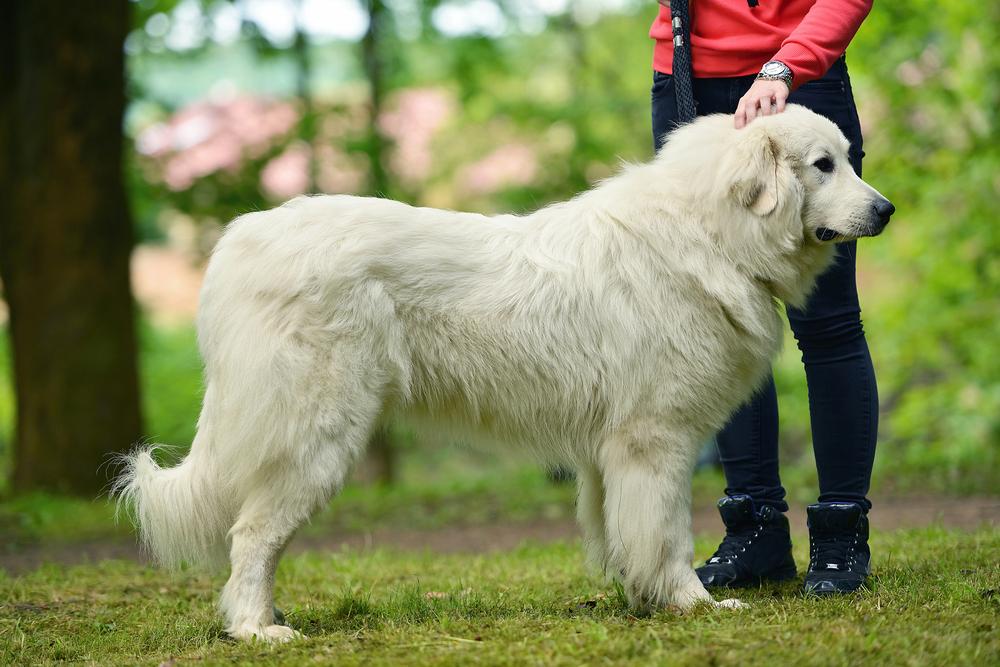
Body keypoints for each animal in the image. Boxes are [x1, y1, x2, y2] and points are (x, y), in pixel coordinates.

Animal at [115, 104, 892, 640]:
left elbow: (623, 532)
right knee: (252, 536)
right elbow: (667, 532)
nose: (886, 209)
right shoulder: (656, 439)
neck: (712, 235)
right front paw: (692, 603)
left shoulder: (614, 453)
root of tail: (240, 242)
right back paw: (258, 628)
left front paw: (638, 598)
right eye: (823, 164)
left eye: (850, 158)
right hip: (316, 435)